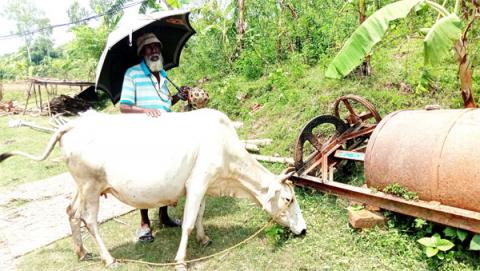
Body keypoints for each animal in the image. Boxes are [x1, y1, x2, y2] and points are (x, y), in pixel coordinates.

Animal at [0, 108, 306, 270]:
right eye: (289, 199)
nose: (303, 230)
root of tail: (73, 124)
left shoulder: (205, 184)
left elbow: (201, 214)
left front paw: (204, 238)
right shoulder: (198, 181)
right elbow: (188, 221)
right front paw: (181, 260)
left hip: (82, 185)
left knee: (71, 212)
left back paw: (81, 251)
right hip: (90, 186)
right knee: (89, 219)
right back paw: (108, 258)